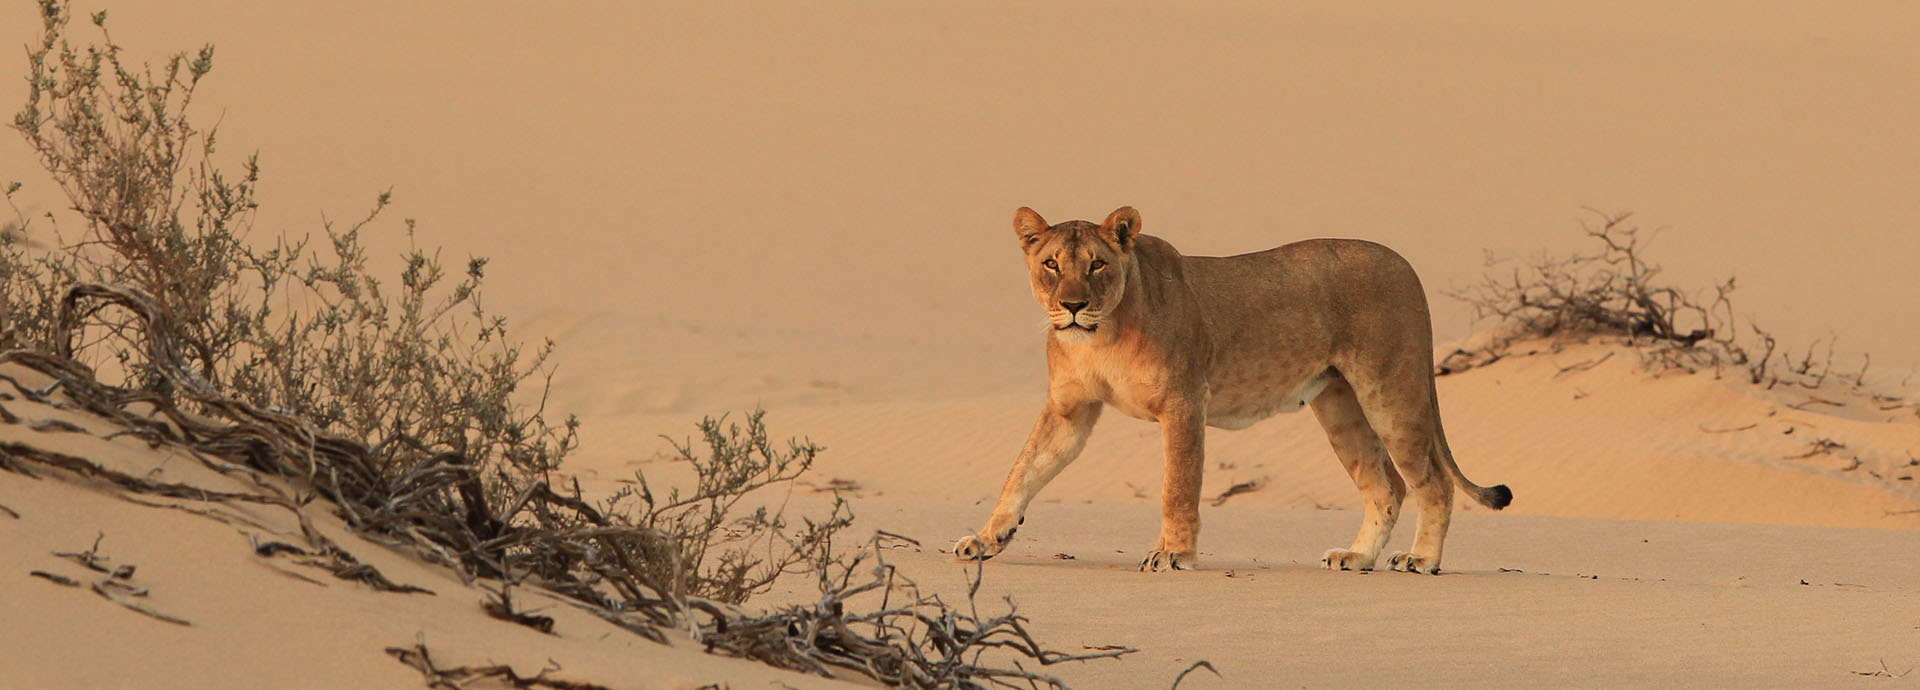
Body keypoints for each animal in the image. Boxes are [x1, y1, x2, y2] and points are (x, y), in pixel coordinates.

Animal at [953, 206, 1511, 574]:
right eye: (1051, 264)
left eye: (1097, 265)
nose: (1071, 306)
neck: (1100, 337)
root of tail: (1405, 263)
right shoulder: (1070, 409)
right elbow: (1023, 470)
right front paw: (985, 538)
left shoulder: (1183, 404)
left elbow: (1177, 486)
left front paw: (1173, 554)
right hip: (1340, 406)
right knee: (1386, 485)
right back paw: (1356, 557)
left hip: (1390, 392)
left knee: (1432, 482)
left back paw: (1421, 559)